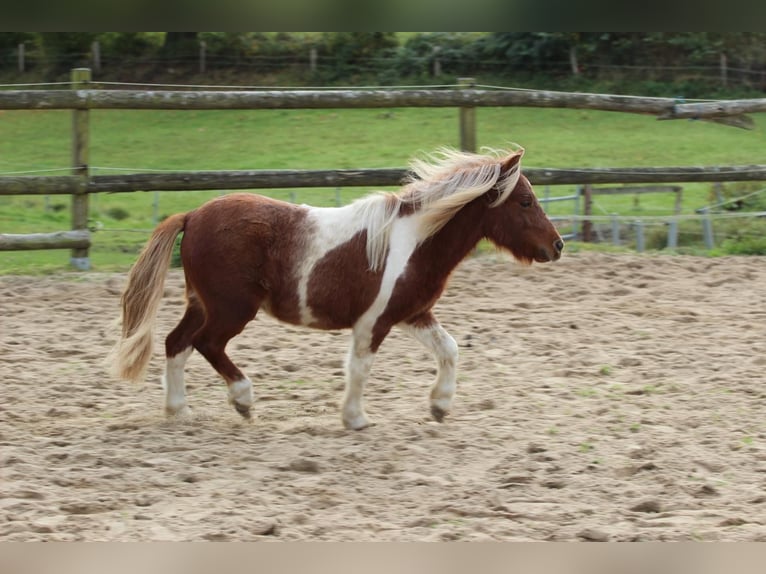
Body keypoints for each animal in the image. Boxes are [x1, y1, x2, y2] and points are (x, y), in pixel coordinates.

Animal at [111, 146, 564, 430]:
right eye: (525, 201)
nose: (557, 245)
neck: (415, 241)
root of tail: (192, 215)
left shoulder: (413, 314)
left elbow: (449, 349)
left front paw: (439, 407)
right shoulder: (373, 321)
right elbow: (360, 368)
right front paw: (356, 419)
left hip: (202, 304)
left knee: (176, 343)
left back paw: (179, 411)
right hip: (231, 309)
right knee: (206, 344)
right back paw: (243, 400)